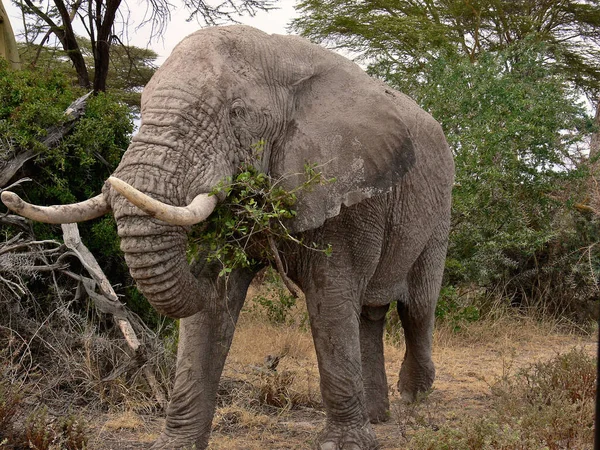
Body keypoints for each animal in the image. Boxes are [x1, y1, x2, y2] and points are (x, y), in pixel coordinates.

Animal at [1, 25, 454, 450]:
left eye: (238, 114)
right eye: (141, 108)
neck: (283, 55)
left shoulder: (348, 188)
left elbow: (331, 299)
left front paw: (343, 446)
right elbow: (212, 306)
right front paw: (176, 444)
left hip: (441, 210)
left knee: (416, 307)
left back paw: (414, 397)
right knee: (371, 314)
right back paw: (378, 416)